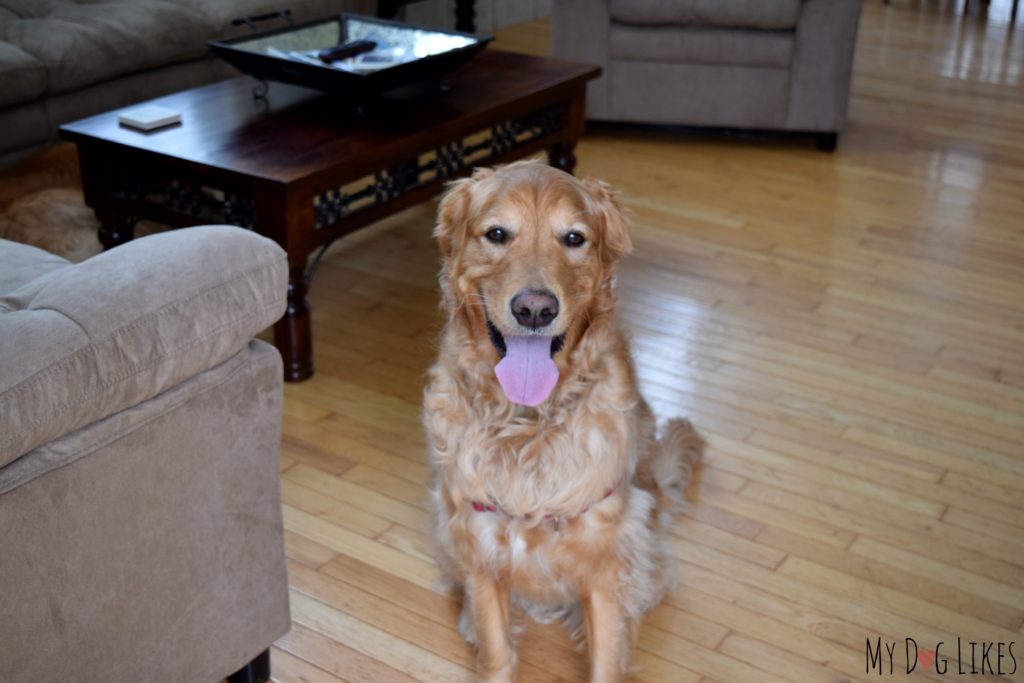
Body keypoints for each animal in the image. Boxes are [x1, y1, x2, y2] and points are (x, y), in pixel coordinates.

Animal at [419, 161, 700, 683]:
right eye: (497, 234)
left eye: (574, 238)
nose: (535, 309)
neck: (527, 424)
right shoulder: (478, 543)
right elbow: (495, 649)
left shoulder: (606, 558)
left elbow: (607, 657)